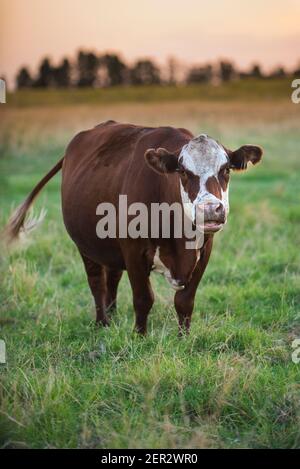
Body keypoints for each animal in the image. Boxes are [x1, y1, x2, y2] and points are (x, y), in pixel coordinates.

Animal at [4, 120, 262, 332]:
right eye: (183, 171)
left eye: (225, 170)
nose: (209, 210)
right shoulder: (133, 250)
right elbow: (143, 298)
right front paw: (140, 336)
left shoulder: (204, 250)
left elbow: (184, 301)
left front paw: (184, 338)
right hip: (85, 245)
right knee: (97, 283)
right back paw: (103, 323)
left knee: (112, 278)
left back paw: (113, 315)